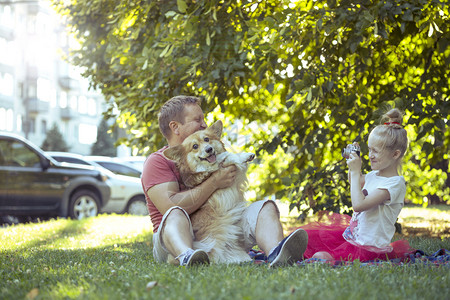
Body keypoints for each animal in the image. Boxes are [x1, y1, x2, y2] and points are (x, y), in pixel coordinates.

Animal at [164, 120, 256, 264]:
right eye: (195, 146)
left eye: (207, 139)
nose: (209, 149)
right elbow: (227, 156)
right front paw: (239, 157)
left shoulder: (236, 177)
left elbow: (230, 156)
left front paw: (246, 155)